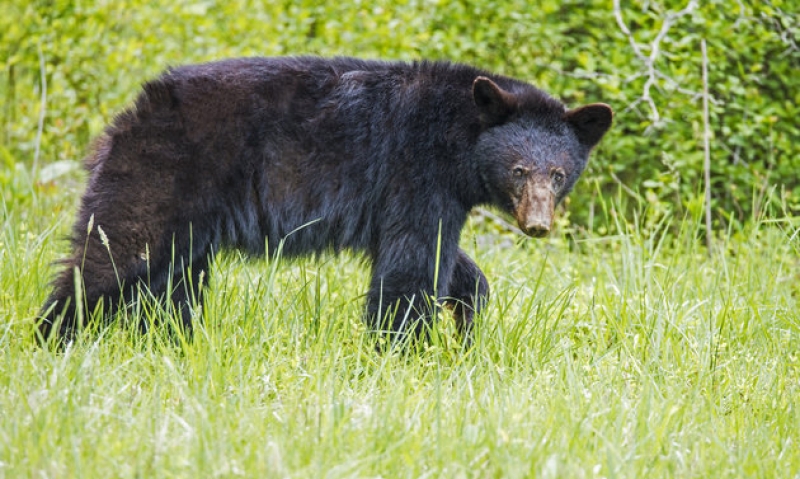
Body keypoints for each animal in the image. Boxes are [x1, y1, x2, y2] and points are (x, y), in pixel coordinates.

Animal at [36, 57, 612, 344]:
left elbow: (448, 262)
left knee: (170, 282)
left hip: (189, 219)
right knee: (113, 254)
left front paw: (468, 323)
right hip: (161, 174)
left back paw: (170, 341)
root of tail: (127, 117)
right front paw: (402, 351)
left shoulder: (423, 194)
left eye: (558, 174)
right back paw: (53, 338)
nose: (537, 223)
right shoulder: (414, 170)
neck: (457, 133)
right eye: (519, 170)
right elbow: (412, 264)